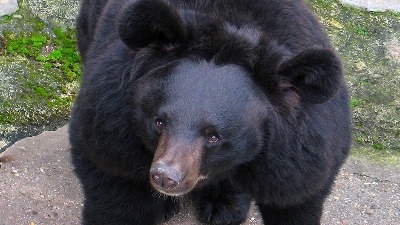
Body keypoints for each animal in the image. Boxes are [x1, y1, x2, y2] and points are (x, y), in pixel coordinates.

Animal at [70, 0, 352, 224]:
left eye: (214, 136)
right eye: (159, 122)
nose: (165, 177)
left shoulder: (300, 155)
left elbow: (298, 196)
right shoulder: (111, 121)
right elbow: (115, 182)